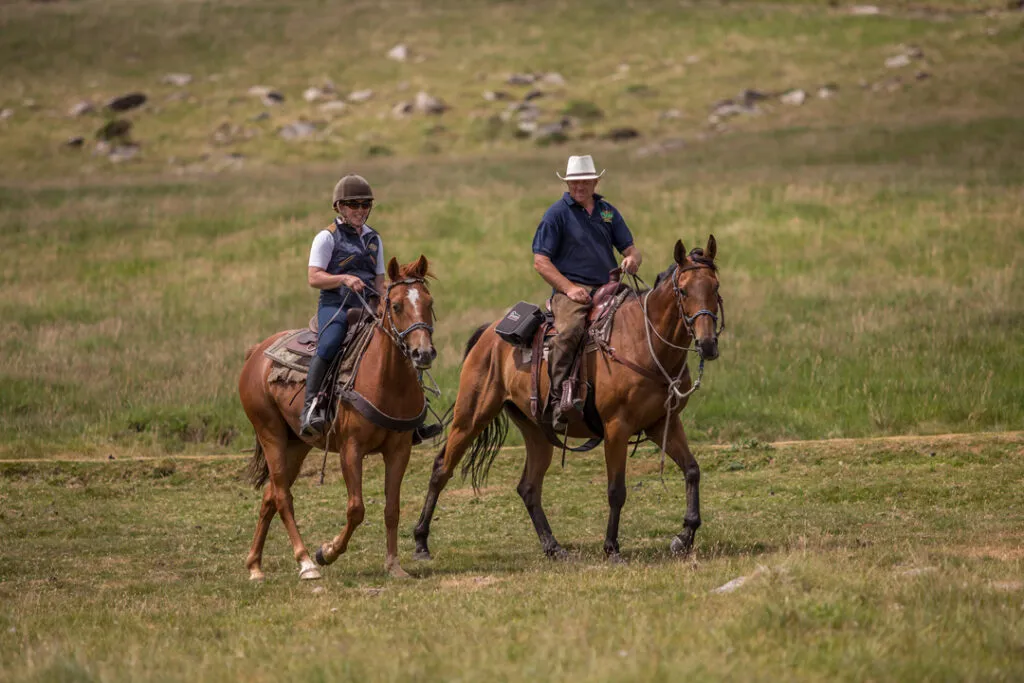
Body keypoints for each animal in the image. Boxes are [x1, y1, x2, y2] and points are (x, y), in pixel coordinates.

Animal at [239, 255, 437, 581]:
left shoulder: (399, 450)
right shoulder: (351, 449)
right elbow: (356, 509)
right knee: (282, 497)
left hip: (297, 444)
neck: (387, 381)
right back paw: (306, 562)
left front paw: (394, 565)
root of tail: (256, 353)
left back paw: (255, 565)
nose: (423, 353)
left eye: (429, 302)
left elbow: (392, 508)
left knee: (270, 496)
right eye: (396, 306)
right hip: (271, 435)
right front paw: (327, 552)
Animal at [413, 236, 723, 562]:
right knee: (441, 469)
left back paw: (553, 547)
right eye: (684, 291)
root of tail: (488, 334)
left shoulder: (663, 422)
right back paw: (420, 542)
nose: (707, 344)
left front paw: (684, 537)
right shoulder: (616, 427)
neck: (643, 341)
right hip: (471, 416)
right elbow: (616, 490)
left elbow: (692, 470)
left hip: (537, 431)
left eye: (715, 287)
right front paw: (611, 548)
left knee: (528, 487)